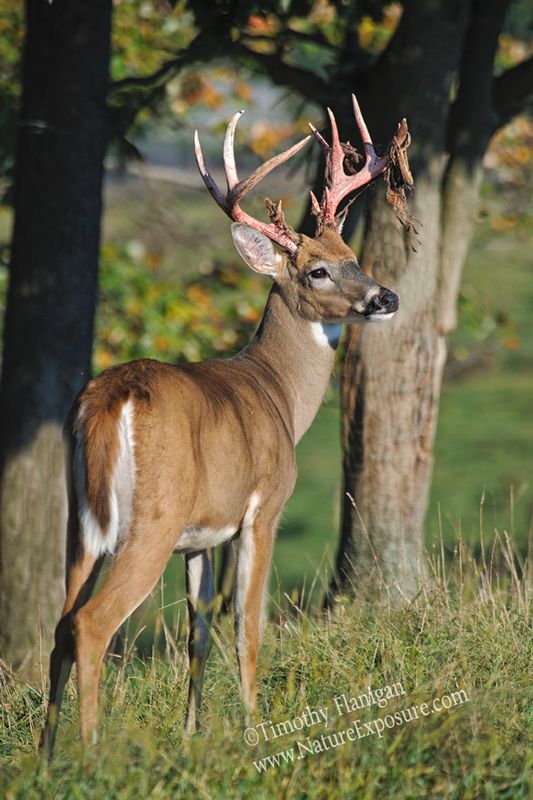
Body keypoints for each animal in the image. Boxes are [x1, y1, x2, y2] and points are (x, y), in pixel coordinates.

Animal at [41, 94, 411, 757]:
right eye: (316, 271)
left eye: (353, 259)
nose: (386, 297)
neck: (279, 394)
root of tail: (106, 401)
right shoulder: (263, 508)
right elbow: (246, 626)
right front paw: (253, 729)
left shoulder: (201, 535)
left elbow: (199, 633)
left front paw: (193, 734)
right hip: (150, 520)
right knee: (90, 623)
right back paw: (90, 752)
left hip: (81, 523)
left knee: (60, 623)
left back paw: (47, 755)